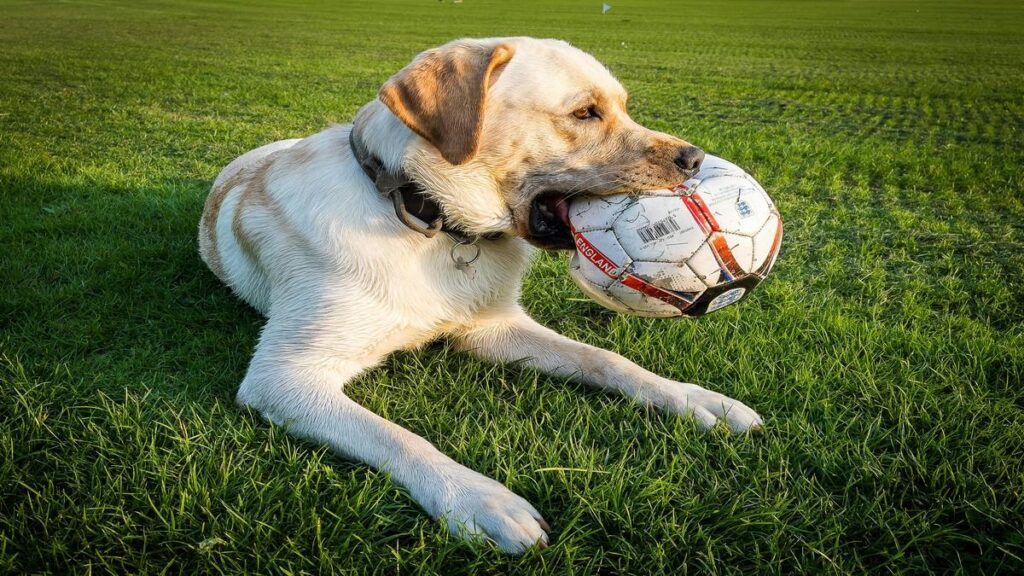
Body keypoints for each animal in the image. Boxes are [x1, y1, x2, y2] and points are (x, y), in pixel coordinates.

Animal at [197, 36, 761, 553]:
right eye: (585, 112)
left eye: (623, 106)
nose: (696, 158)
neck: (427, 220)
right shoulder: (283, 376)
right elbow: (396, 436)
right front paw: (480, 500)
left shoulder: (491, 328)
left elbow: (603, 358)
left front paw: (695, 399)